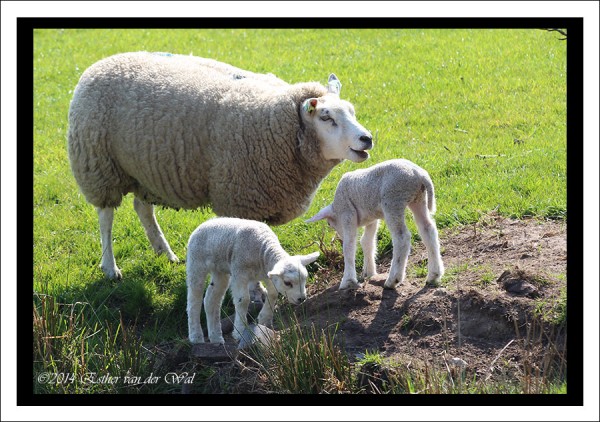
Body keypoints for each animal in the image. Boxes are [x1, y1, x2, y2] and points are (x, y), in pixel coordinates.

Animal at [68, 51, 372, 278]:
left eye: (352, 111)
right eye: (326, 117)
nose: (367, 139)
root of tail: (100, 64)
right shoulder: (241, 198)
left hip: (145, 170)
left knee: (143, 208)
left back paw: (165, 252)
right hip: (98, 165)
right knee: (106, 217)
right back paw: (110, 267)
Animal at [188, 216, 322, 344]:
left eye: (305, 279)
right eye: (287, 283)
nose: (302, 299)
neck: (263, 250)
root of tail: (203, 224)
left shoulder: (268, 273)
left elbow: (273, 294)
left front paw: (264, 319)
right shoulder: (239, 271)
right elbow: (243, 300)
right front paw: (240, 331)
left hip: (219, 270)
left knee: (210, 300)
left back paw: (216, 337)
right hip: (196, 263)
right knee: (194, 300)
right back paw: (196, 337)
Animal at [308, 158, 442, 290]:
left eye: (329, 224)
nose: (340, 236)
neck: (336, 207)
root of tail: (419, 174)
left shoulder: (347, 213)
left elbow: (349, 246)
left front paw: (347, 281)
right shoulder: (372, 218)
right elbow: (366, 241)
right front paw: (369, 272)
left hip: (393, 201)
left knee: (402, 237)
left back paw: (393, 280)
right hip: (419, 199)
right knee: (428, 229)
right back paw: (434, 275)